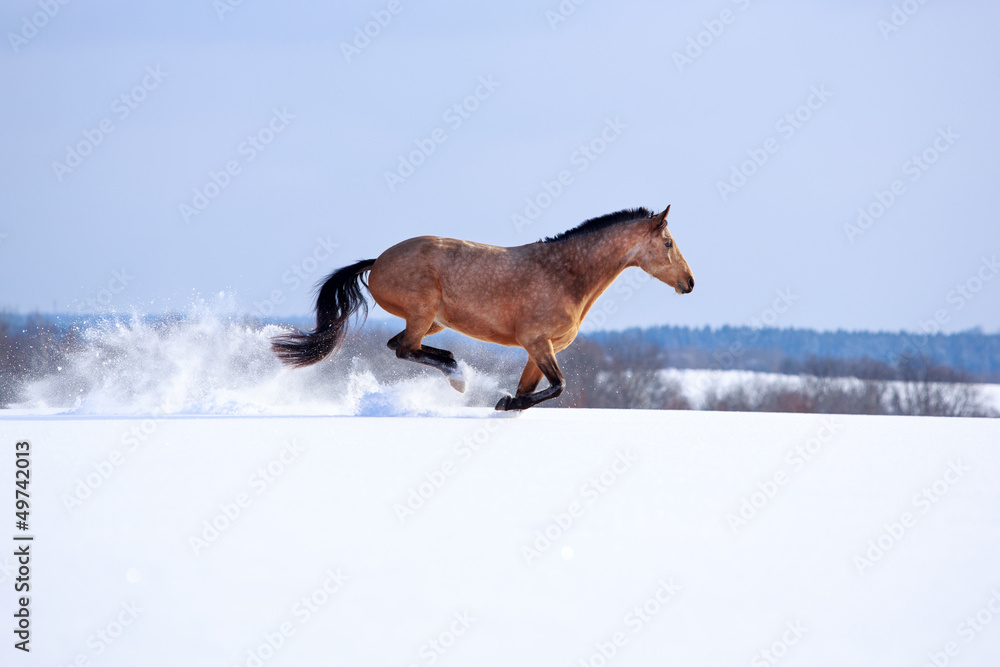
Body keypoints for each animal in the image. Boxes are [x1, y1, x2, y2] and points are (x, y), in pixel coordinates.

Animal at [271, 205, 694, 410]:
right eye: (668, 243)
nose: (689, 283)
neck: (566, 274)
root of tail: (377, 262)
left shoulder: (537, 350)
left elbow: (537, 390)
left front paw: (509, 403)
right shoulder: (537, 342)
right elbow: (559, 386)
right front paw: (504, 400)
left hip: (435, 322)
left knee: (400, 345)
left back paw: (454, 369)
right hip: (423, 312)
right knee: (405, 348)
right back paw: (458, 376)